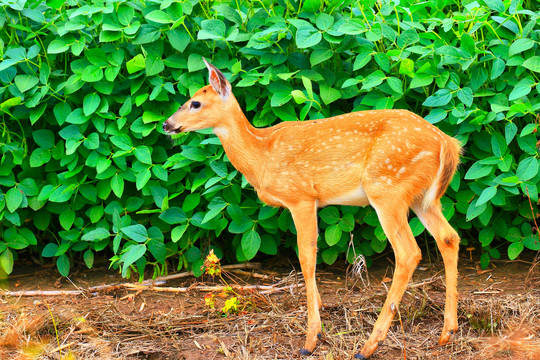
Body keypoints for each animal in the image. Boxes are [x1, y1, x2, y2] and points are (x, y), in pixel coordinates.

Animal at [162, 57, 462, 358]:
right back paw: (447, 332)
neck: (262, 155)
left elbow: (307, 257)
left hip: (386, 188)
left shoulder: (300, 196)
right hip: (421, 197)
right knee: (448, 237)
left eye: (195, 103)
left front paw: (311, 339)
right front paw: (319, 314)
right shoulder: (312, 202)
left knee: (409, 252)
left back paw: (369, 345)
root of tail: (447, 142)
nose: (166, 124)